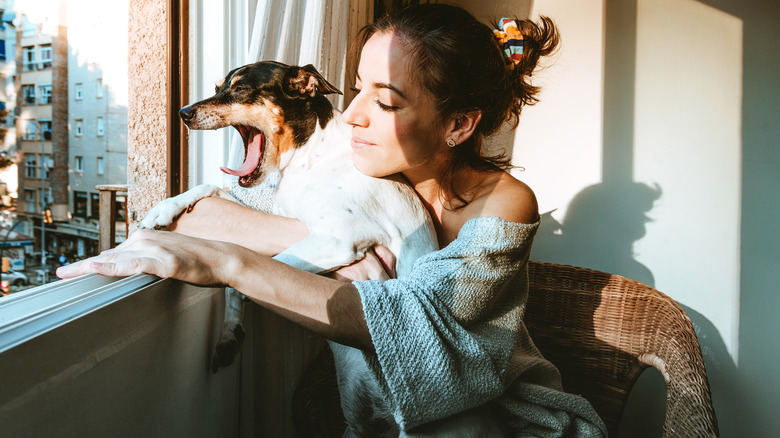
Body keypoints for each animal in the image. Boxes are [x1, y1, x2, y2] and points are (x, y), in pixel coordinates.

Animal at [137, 61, 448, 434]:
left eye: (241, 89)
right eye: (217, 87)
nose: (183, 113)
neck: (311, 158)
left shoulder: (337, 239)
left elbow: (245, 276)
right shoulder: (277, 214)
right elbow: (210, 187)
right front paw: (162, 210)